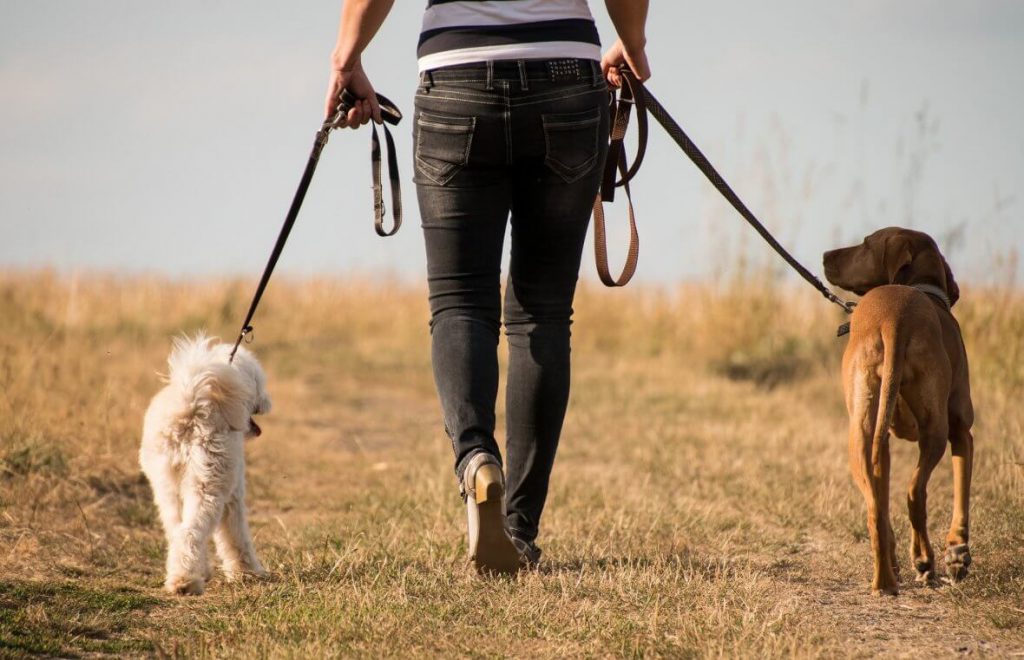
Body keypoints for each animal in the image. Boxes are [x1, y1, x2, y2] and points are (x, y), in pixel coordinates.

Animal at [142, 331, 276, 593]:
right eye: (258, 383)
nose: (267, 401)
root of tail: (191, 403)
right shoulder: (233, 496)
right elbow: (236, 537)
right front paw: (248, 572)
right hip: (208, 486)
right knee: (190, 532)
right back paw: (186, 583)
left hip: (166, 488)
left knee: (176, 531)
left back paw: (183, 575)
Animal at [823, 226, 974, 593]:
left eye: (865, 244)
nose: (824, 256)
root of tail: (895, 319)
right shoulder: (962, 430)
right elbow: (961, 497)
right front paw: (957, 553)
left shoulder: (885, 440)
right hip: (935, 431)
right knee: (914, 493)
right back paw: (925, 561)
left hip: (861, 435)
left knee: (875, 507)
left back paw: (885, 579)